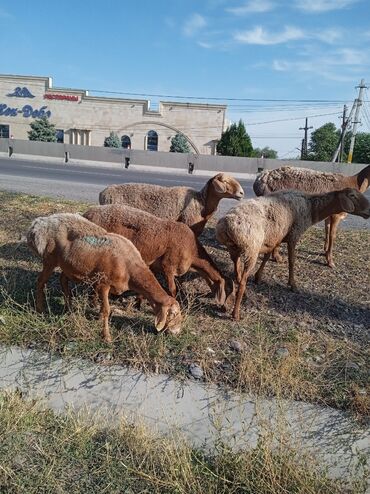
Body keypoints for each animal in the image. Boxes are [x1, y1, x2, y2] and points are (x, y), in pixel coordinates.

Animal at [84, 205, 234, 304]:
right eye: (227, 289)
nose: (226, 309)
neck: (193, 254)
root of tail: (86, 214)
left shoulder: (152, 265)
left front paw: (138, 303)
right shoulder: (168, 265)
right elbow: (172, 289)